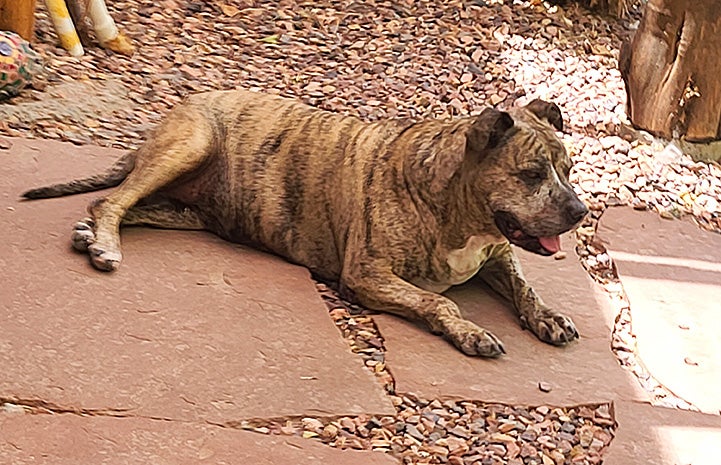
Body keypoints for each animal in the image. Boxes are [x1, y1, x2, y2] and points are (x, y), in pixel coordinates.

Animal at [25, 91, 588, 358]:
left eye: (569, 170)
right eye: (532, 174)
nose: (580, 212)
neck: (451, 204)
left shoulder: (497, 255)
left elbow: (525, 287)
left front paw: (547, 316)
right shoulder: (367, 275)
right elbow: (439, 301)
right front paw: (469, 330)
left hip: (187, 214)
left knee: (128, 205)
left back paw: (91, 234)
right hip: (188, 146)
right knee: (112, 200)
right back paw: (103, 243)